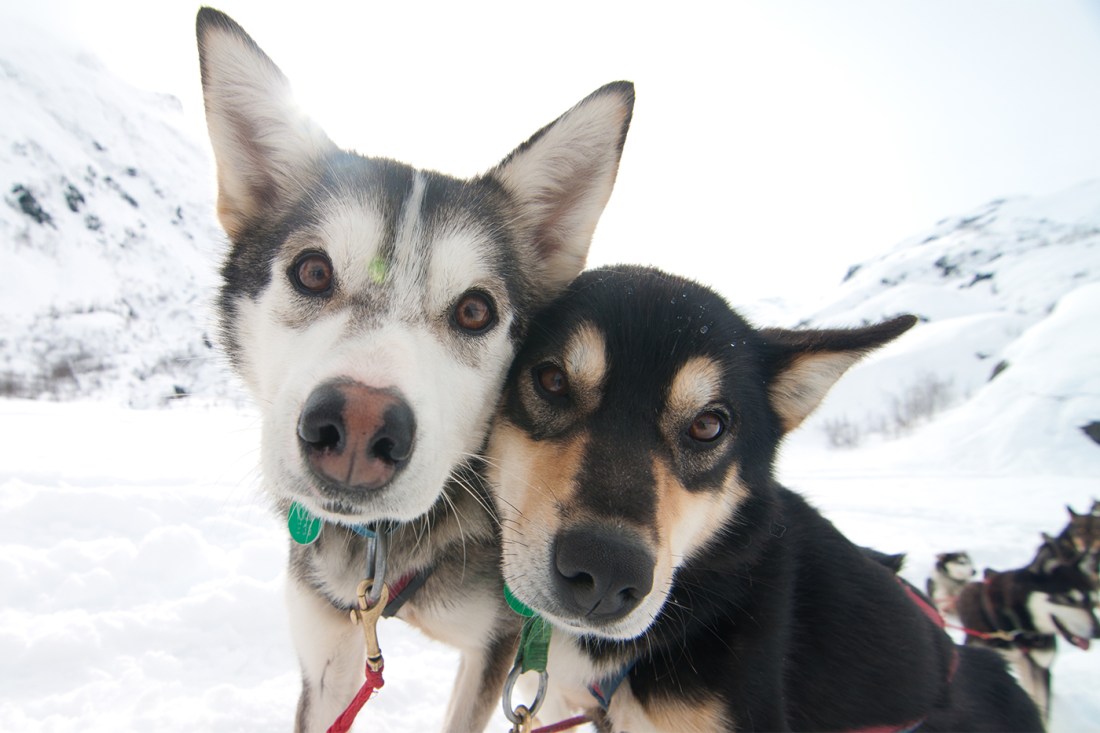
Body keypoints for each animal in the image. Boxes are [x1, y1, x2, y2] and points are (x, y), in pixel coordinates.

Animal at [193, 8, 633, 726]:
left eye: (476, 311)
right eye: (312, 271)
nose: (358, 426)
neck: (386, 550)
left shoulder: (500, 649)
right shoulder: (331, 649)